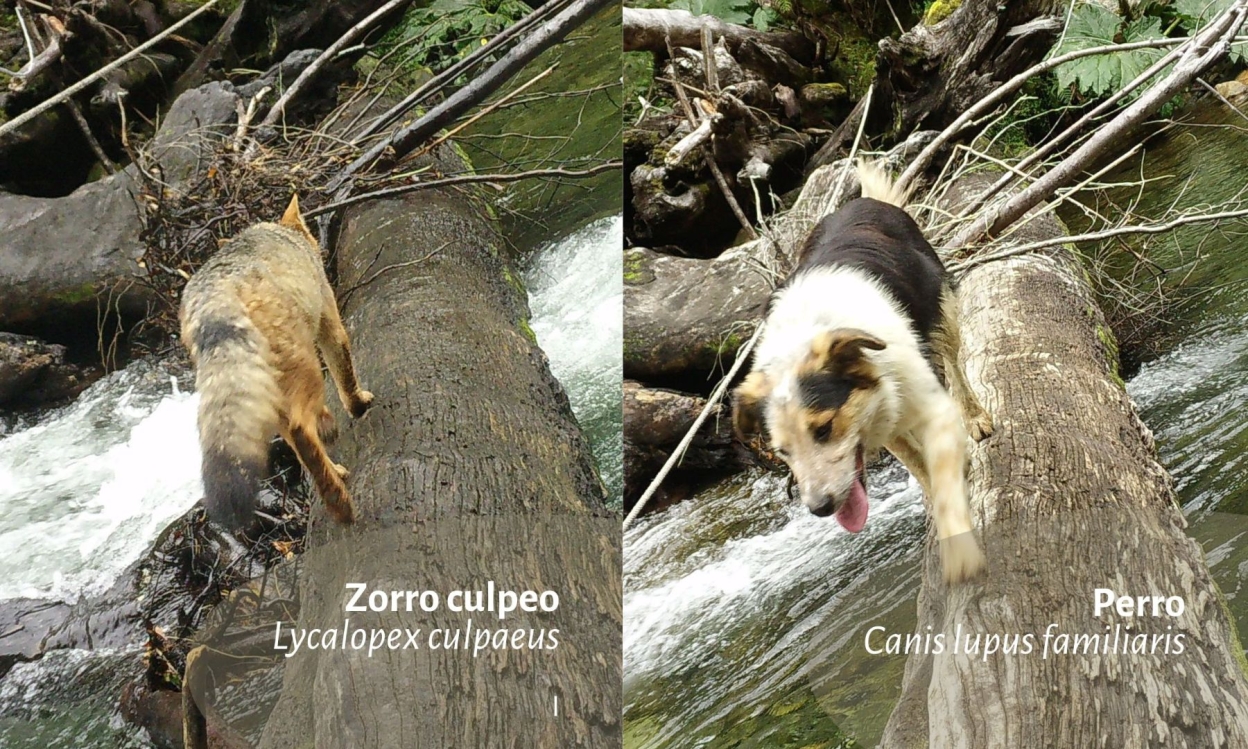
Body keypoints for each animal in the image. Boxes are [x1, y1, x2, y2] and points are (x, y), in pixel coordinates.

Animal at [178, 195, 369, 529]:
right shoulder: (329, 321)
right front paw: (358, 406)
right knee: (301, 429)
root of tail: (212, 298)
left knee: (296, 439)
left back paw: (334, 472)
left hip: (267, 391)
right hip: (304, 370)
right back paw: (340, 502)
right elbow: (345, 373)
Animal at [728, 162, 993, 584]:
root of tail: (865, 201)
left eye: (823, 429)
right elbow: (922, 469)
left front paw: (959, 554)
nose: (821, 509)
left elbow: (945, 486)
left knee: (954, 360)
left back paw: (977, 418)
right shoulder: (885, 423)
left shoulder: (932, 408)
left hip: (941, 309)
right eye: (783, 452)